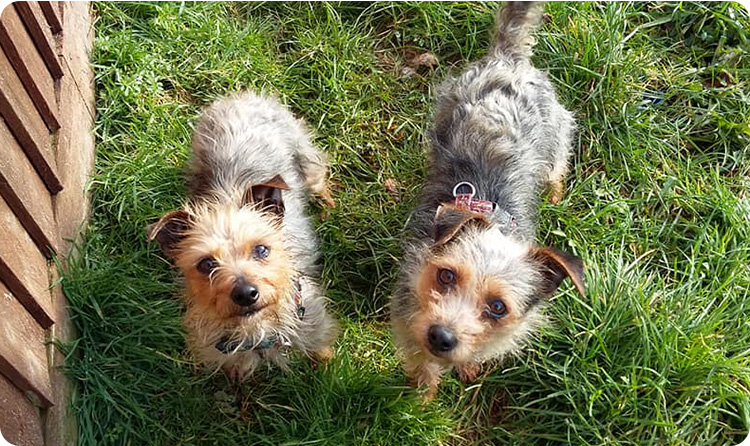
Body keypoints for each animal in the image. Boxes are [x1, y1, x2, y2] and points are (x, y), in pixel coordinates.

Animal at [390, 2, 592, 400]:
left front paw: (466, 366)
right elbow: (422, 365)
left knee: (557, 167)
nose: (441, 335)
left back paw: (556, 191)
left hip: (556, 138)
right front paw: (422, 396)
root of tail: (509, 59)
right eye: (446, 275)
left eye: (498, 307)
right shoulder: (409, 322)